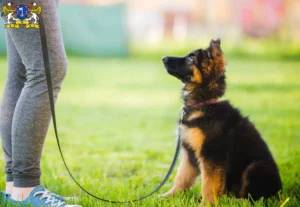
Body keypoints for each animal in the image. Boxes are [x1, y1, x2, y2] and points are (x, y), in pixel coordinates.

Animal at [162, 38, 282, 205]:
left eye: (191, 59)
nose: (163, 58)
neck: (204, 104)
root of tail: (280, 193)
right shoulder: (189, 152)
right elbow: (181, 177)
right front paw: (170, 196)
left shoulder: (213, 155)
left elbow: (209, 184)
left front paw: (206, 204)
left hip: (256, 167)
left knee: (253, 198)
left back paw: (236, 202)